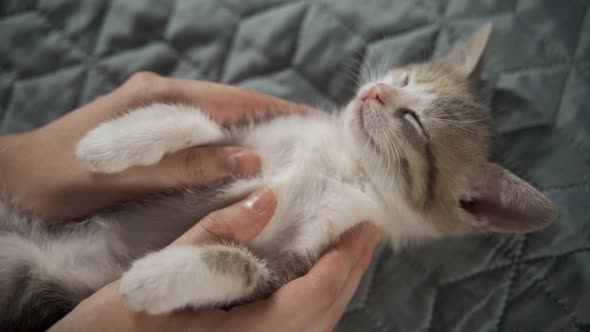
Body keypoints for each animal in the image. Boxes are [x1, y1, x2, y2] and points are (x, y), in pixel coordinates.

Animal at [0, 24, 560, 332]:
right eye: (403, 78)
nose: (375, 92)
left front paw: (153, 280)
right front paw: (111, 142)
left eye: (415, 123)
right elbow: (207, 126)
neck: (342, 160)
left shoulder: (304, 255)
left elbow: (249, 270)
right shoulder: (253, 141)